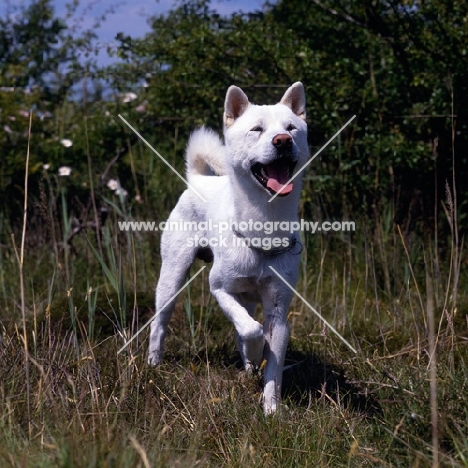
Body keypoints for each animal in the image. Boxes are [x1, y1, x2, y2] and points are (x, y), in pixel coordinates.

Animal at [150, 82, 308, 412]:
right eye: (257, 129)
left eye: (291, 128)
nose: (283, 141)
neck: (262, 230)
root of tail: (197, 180)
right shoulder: (219, 289)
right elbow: (252, 330)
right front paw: (257, 352)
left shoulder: (278, 312)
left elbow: (273, 366)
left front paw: (271, 411)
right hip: (171, 281)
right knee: (159, 324)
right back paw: (152, 364)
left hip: (247, 299)